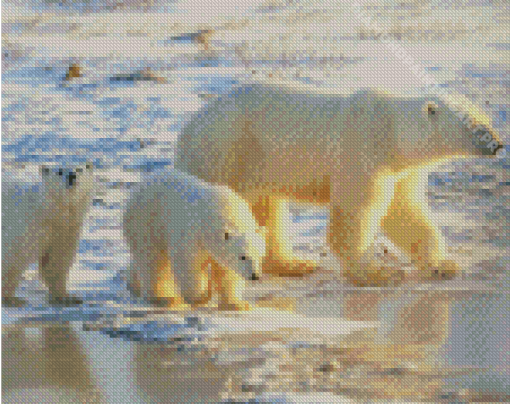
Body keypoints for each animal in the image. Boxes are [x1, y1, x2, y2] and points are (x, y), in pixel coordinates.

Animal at [175, 82, 502, 286]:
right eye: (476, 125)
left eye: (487, 118)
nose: (499, 144)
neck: (392, 132)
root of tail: (186, 130)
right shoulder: (363, 153)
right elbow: (356, 214)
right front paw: (378, 273)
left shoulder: (400, 171)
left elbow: (405, 213)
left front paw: (442, 266)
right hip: (225, 156)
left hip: (256, 166)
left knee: (266, 210)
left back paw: (295, 265)